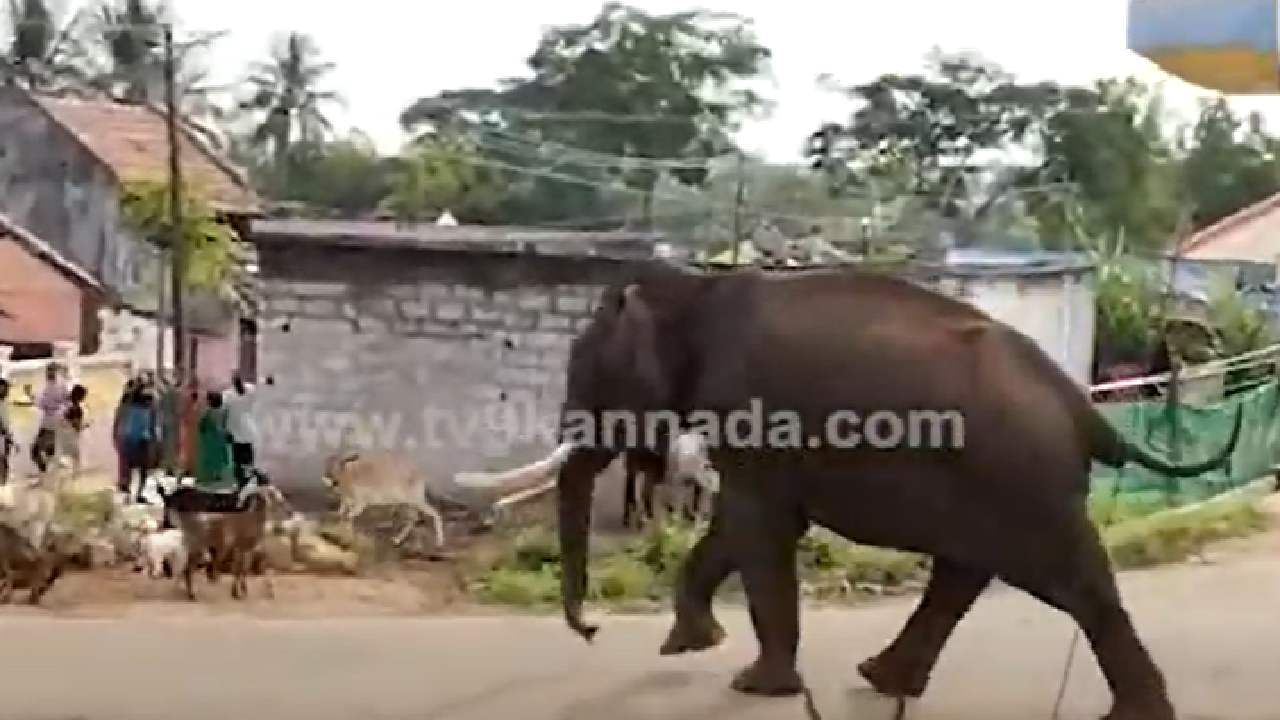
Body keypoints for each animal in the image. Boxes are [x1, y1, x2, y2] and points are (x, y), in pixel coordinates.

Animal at [558, 262, 1239, 717]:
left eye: (585, 375)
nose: (590, 632)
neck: (695, 289)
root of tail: (1084, 409)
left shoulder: (752, 417)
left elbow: (759, 526)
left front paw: (753, 685)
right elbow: (746, 525)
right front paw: (688, 645)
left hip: (1024, 480)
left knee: (1073, 585)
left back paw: (1137, 715)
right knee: (965, 572)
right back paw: (883, 679)